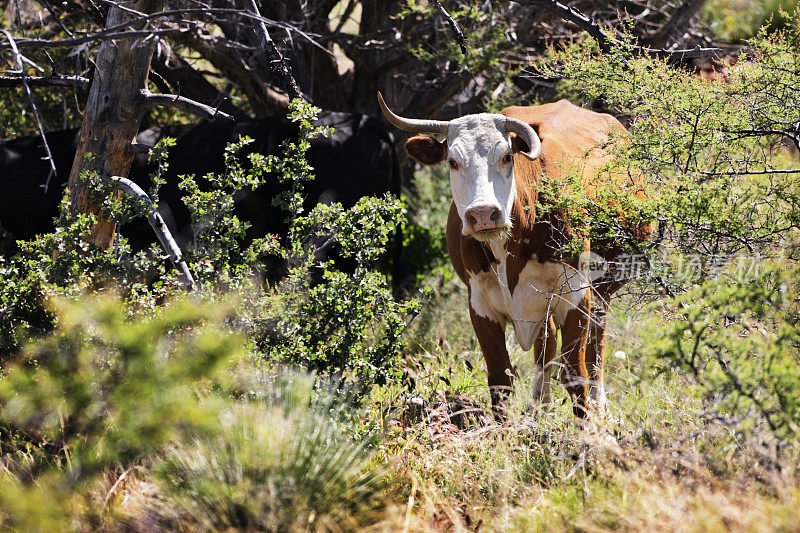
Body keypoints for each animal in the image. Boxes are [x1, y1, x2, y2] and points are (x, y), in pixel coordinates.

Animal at [376, 90, 648, 416]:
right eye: (453, 162)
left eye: (507, 156)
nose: (482, 214)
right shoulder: (480, 307)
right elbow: (500, 379)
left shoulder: (576, 298)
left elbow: (576, 375)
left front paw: (588, 427)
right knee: (545, 353)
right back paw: (539, 410)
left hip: (602, 294)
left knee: (595, 351)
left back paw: (596, 405)